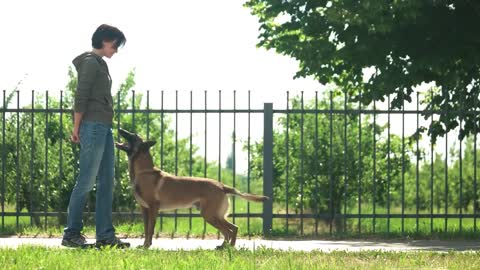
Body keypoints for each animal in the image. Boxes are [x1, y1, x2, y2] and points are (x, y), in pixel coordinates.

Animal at [115, 127, 268, 248]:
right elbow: (146, 229)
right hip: (215, 215)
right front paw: (144, 244)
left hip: (209, 215)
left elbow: (150, 229)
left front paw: (147, 246)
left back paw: (226, 247)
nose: (120, 128)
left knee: (227, 231)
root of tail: (222, 186)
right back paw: (227, 247)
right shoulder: (145, 209)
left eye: (133, 135)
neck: (143, 171)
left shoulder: (153, 208)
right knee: (233, 228)